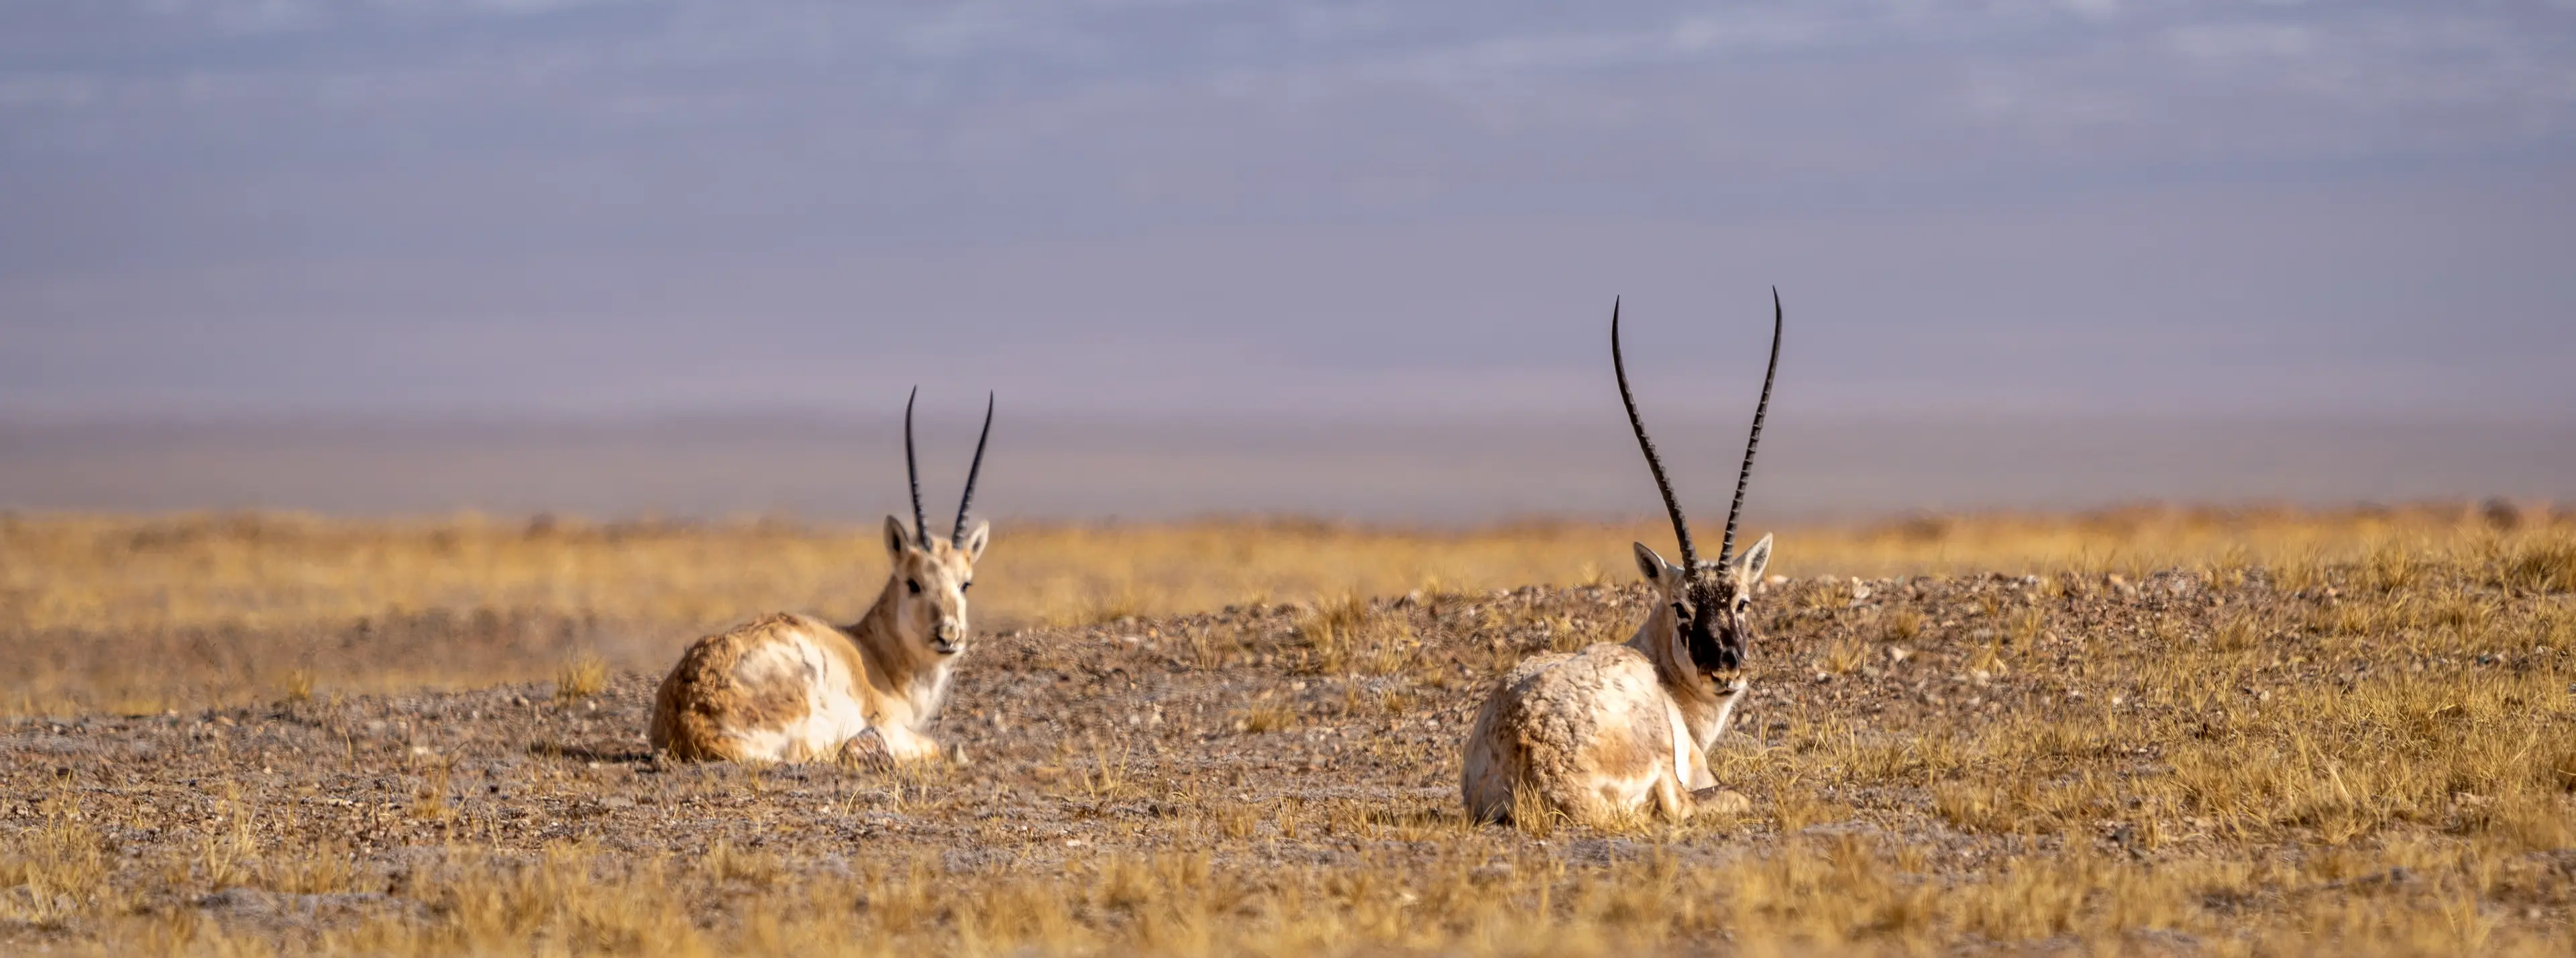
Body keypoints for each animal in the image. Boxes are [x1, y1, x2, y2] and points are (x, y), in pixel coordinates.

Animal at [649, 389, 995, 764]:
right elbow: (932, 745)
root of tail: (689, 716)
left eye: (965, 583)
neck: (872, 654)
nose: (949, 635)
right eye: (914, 583)